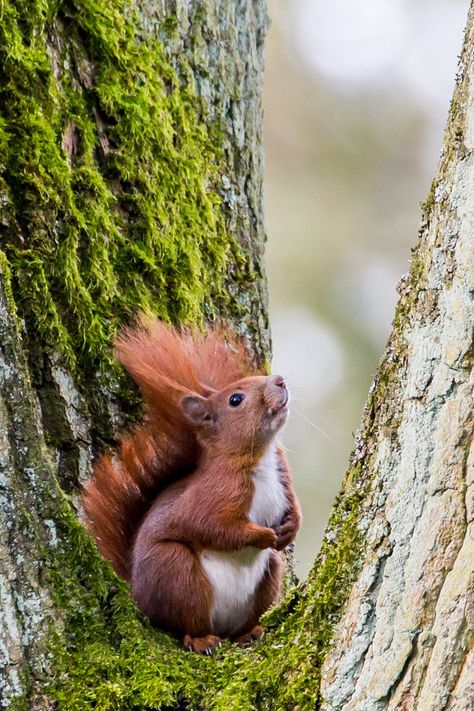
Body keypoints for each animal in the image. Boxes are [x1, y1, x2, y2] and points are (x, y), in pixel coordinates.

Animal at [82, 320, 300, 652]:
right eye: (235, 399)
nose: (279, 380)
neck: (258, 460)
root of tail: (137, 596)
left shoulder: (282, 479)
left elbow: (294, 510)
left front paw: (289, 529)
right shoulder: (212, 495)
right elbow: (211, 527)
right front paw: (262, 534)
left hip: (269, 574)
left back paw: (250, 632)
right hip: (176, 571)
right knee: (185, 624)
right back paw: (201, 639)